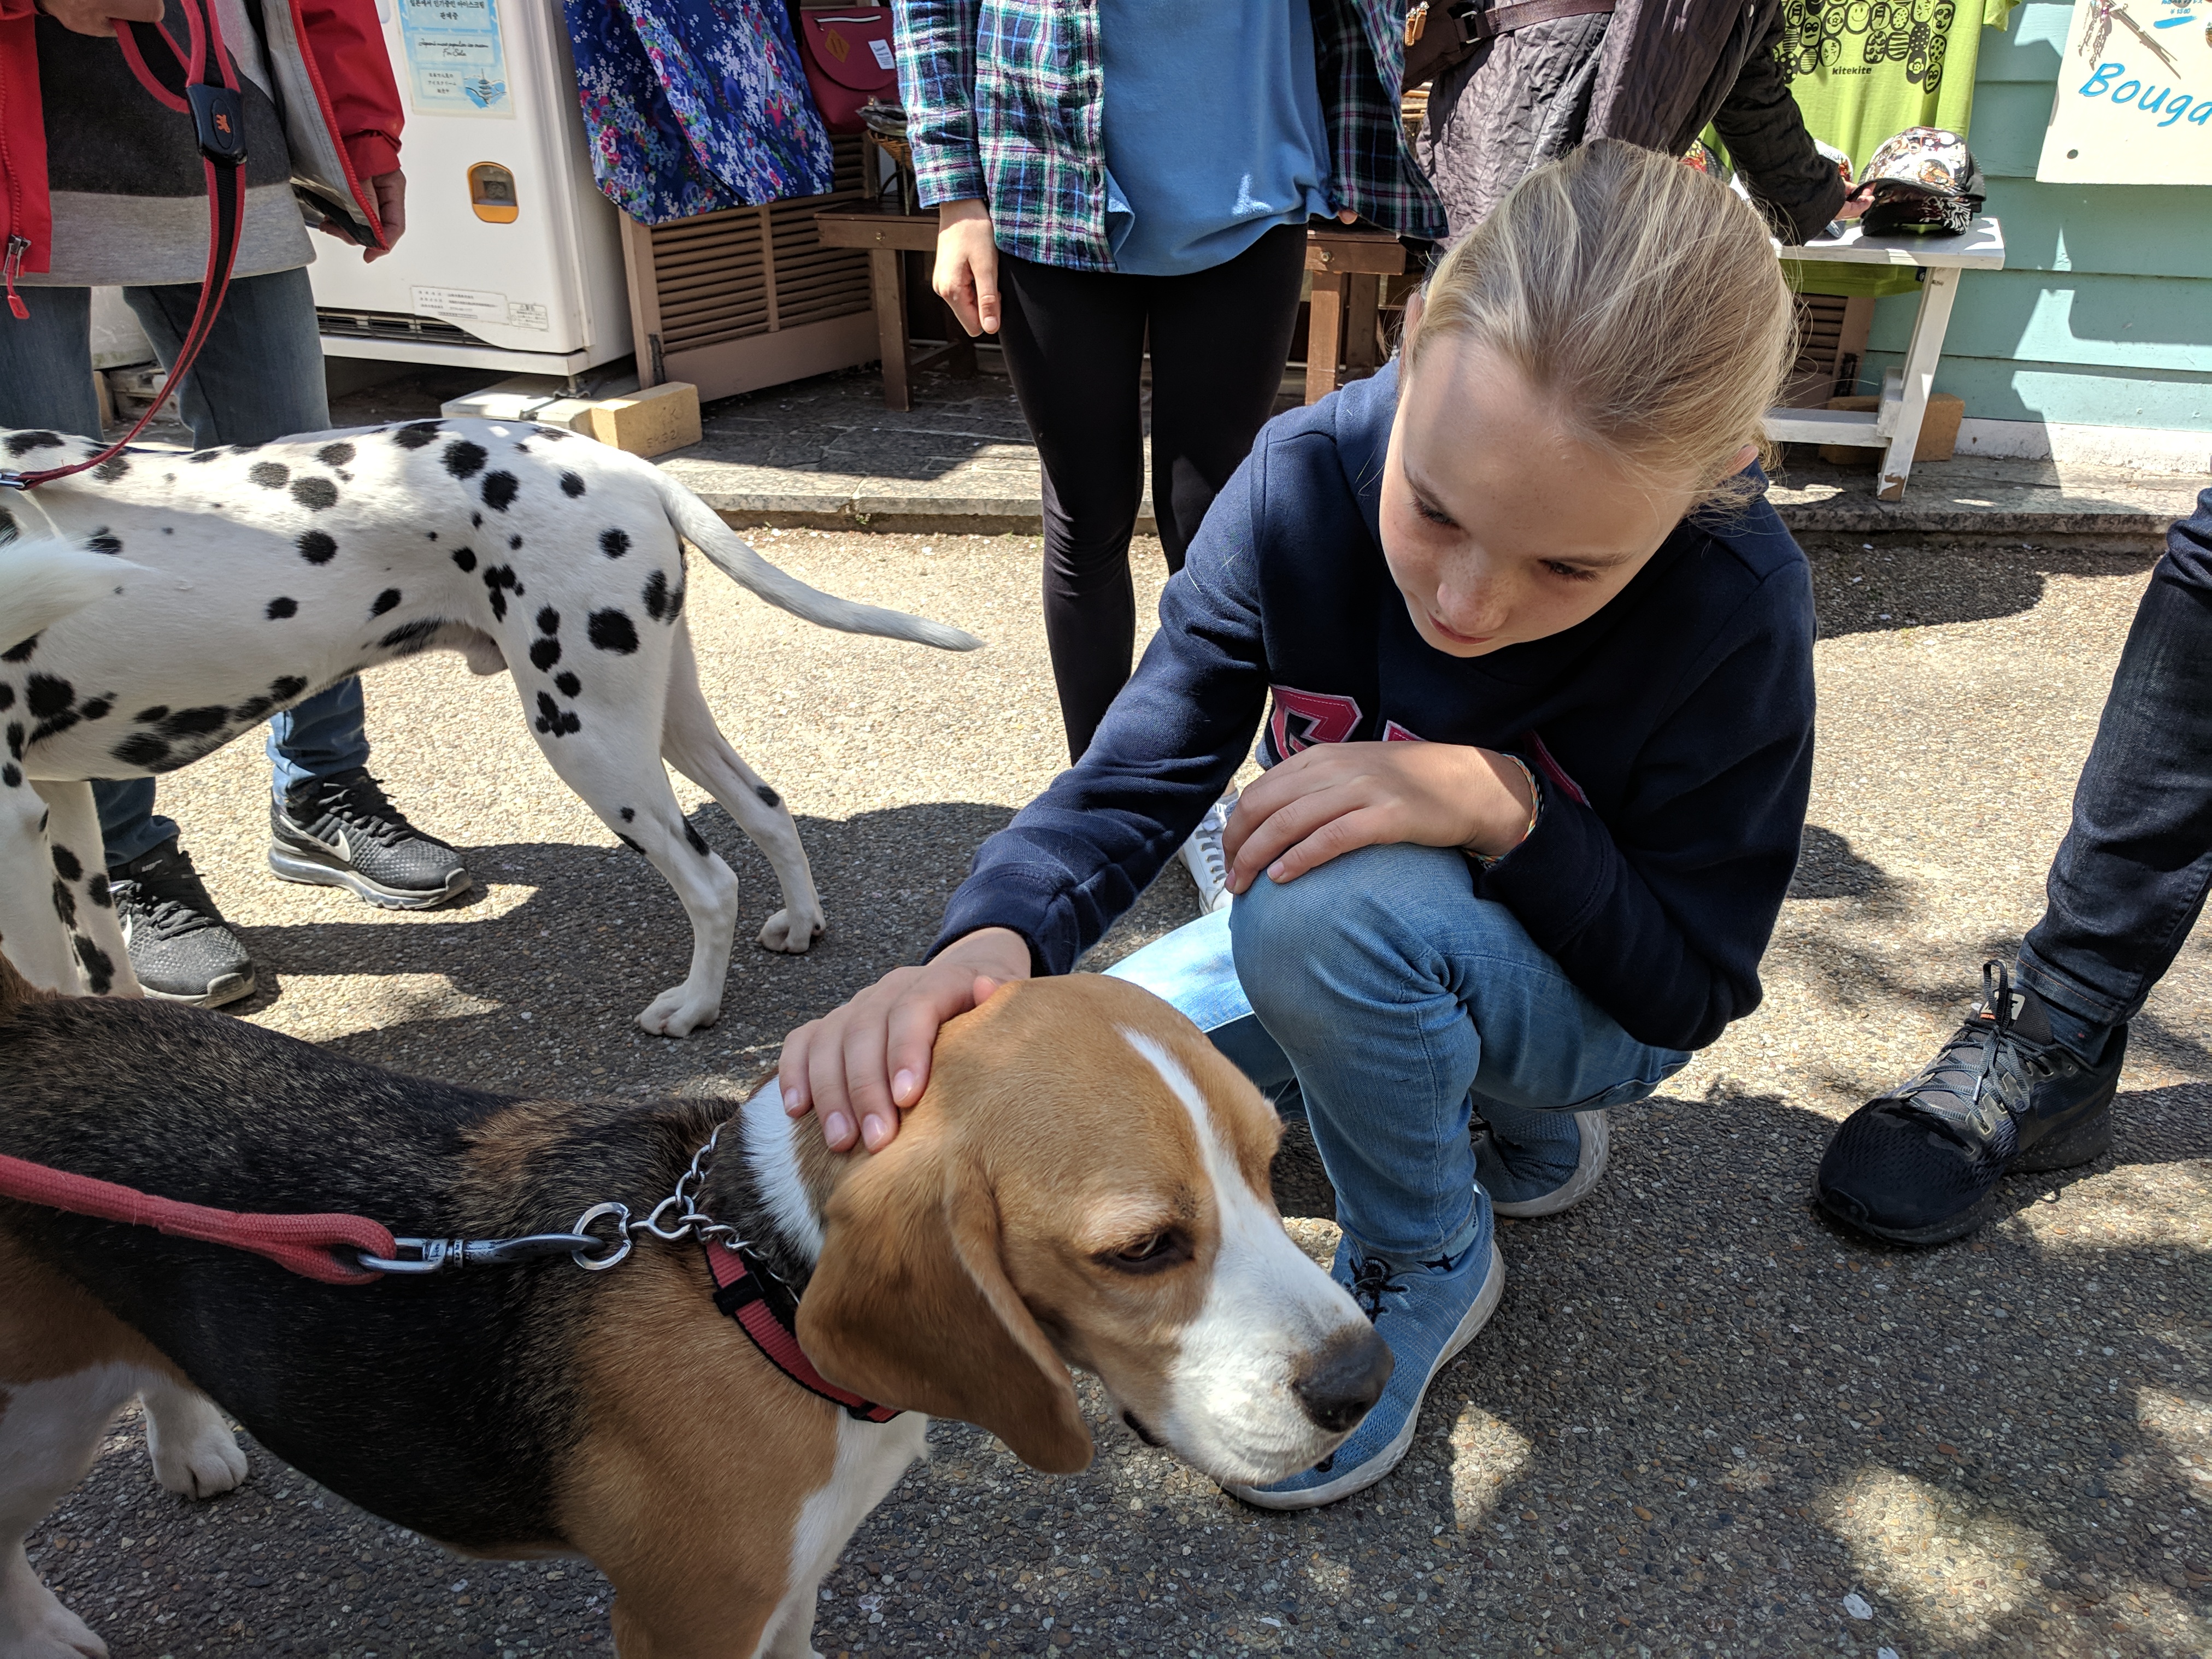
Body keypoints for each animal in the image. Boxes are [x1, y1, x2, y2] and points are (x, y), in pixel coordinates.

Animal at [0, 420, 980, 1036]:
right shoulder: (61, 804)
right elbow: (99, 963)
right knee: (767, 806)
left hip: (586, 734)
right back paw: (802, 920)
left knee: (709, 881)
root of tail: (631, 468)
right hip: (659, 713)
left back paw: (696, 1007)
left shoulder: (13, 827)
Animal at [0, 960, 1391, 1659]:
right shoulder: (686, 1622)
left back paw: (193, 1438)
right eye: (1142, 1249)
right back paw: (52, 1633)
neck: (754, 1281)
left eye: (1267, 1159)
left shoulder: (789, 1590)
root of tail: (27, 1019)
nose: (1362, 1385)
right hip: (40, 1417)